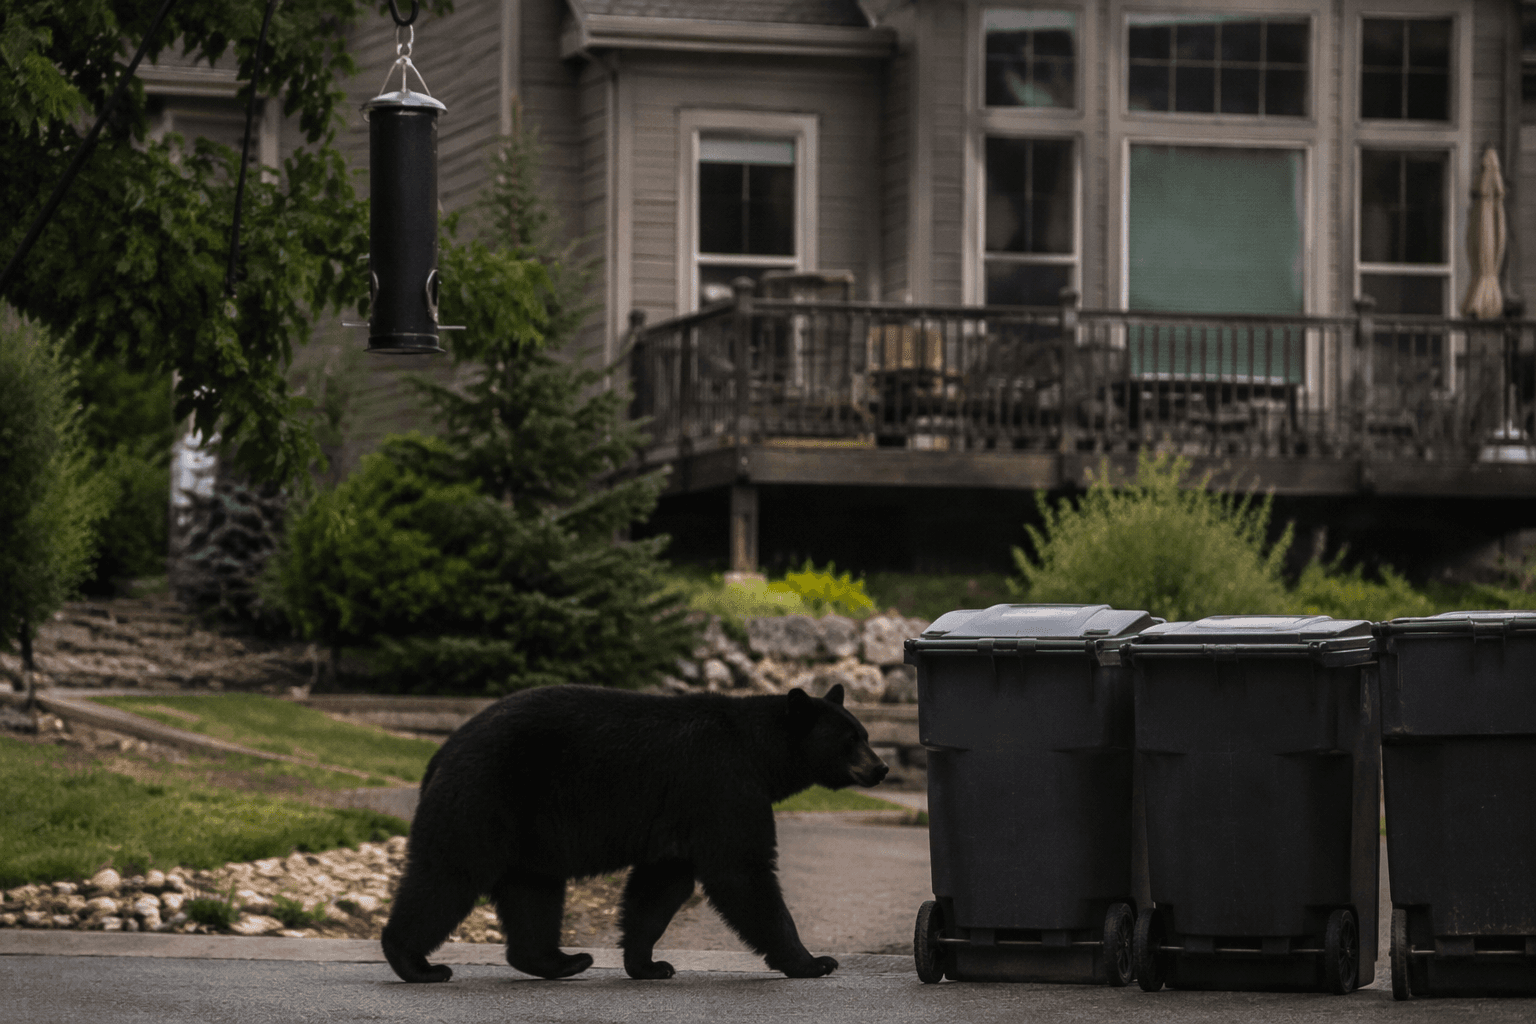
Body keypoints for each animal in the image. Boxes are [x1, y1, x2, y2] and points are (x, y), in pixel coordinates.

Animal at [381, 682, 888, 984]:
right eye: (851, 741)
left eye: (864, 734)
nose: (881, 768)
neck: (758, 753)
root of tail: (441, 751)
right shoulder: (720, 786)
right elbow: (742, 872)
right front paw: (813, 961)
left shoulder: (684, 816)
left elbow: (660, 886)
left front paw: (648, 963)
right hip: (486, 797)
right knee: (448, 874)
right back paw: (416, 963)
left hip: (528, 829)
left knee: (533, 890)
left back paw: (562, 960)